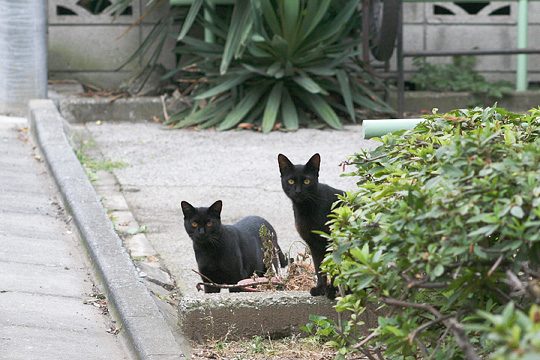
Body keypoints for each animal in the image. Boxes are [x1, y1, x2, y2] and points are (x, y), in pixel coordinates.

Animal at [280, 153, 344, 300]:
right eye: (290, 181)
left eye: (307, 181)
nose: (298, 191)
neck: (306, 209)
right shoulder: (313, 245)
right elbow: (319, 267)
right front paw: (320, 289)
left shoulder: (331, 243)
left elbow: (333, 267)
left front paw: (332, 291)